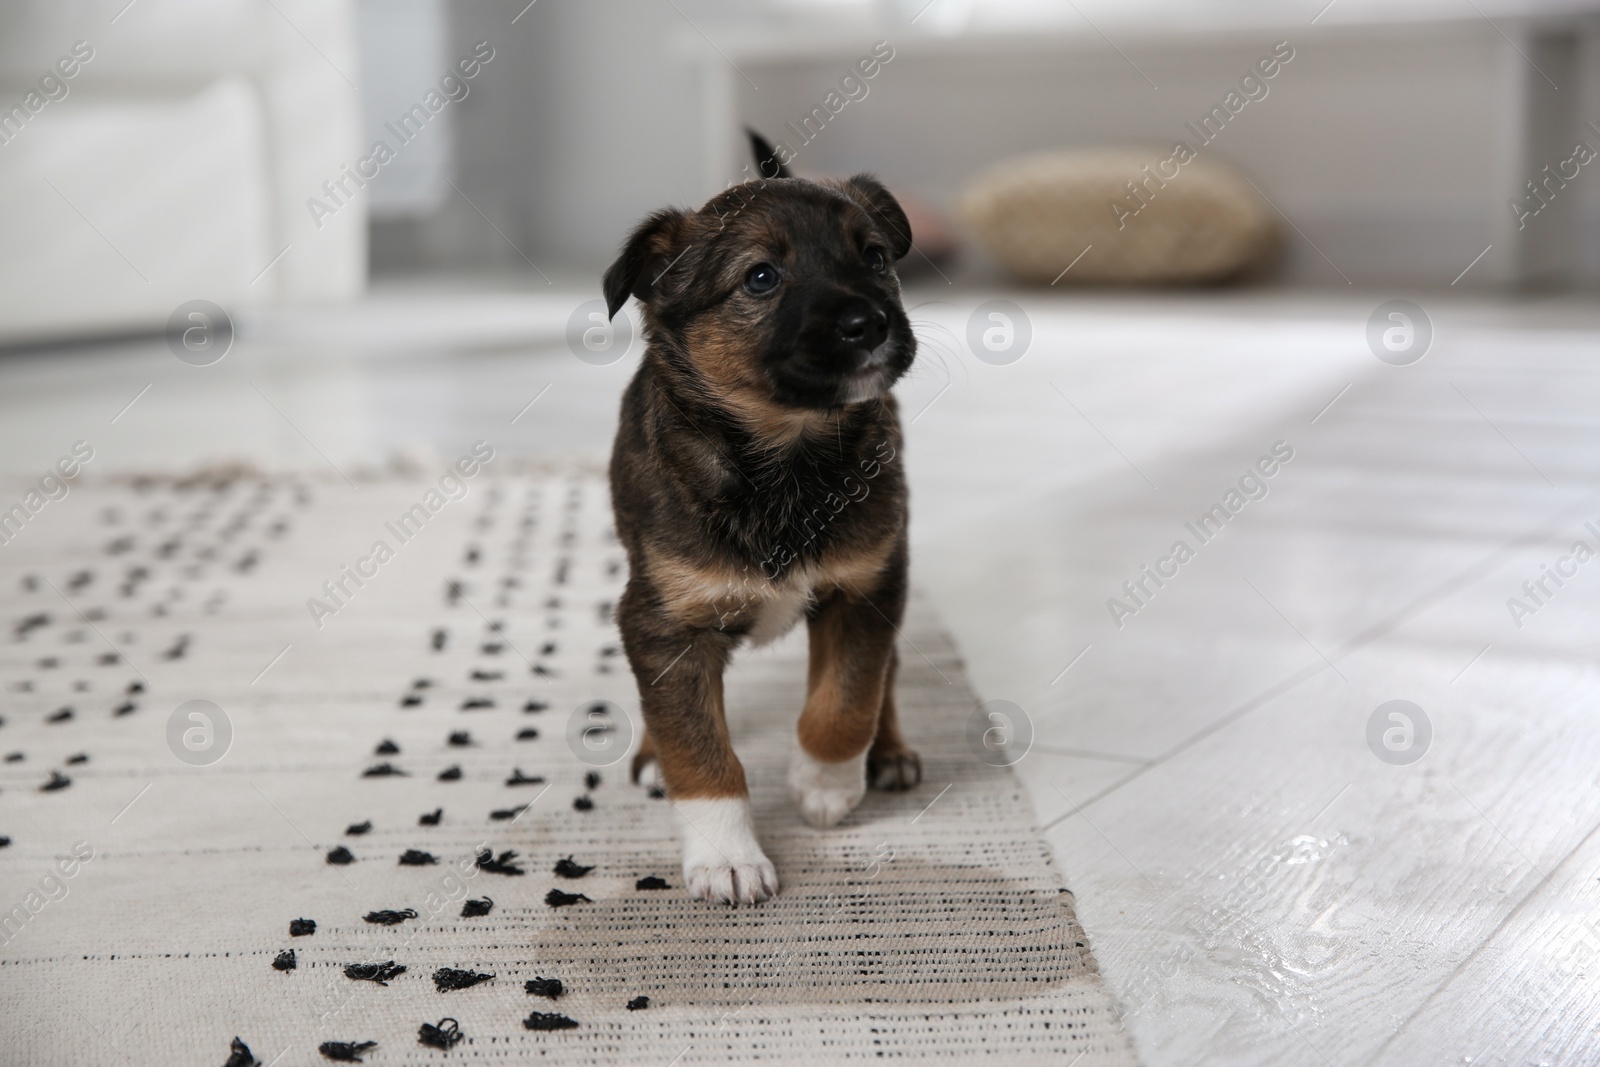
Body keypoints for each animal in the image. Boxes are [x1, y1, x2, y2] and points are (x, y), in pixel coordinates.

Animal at [601, 139, 928, 902]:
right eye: (760, 277)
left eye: (875, 257)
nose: (871, 323)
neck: (787, 457)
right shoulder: (664, 621)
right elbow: (699, 747)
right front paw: (727, 857)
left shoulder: (868, 585)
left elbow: (847, 698)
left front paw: (824, 783)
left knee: (888, 676)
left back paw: (890, 751)